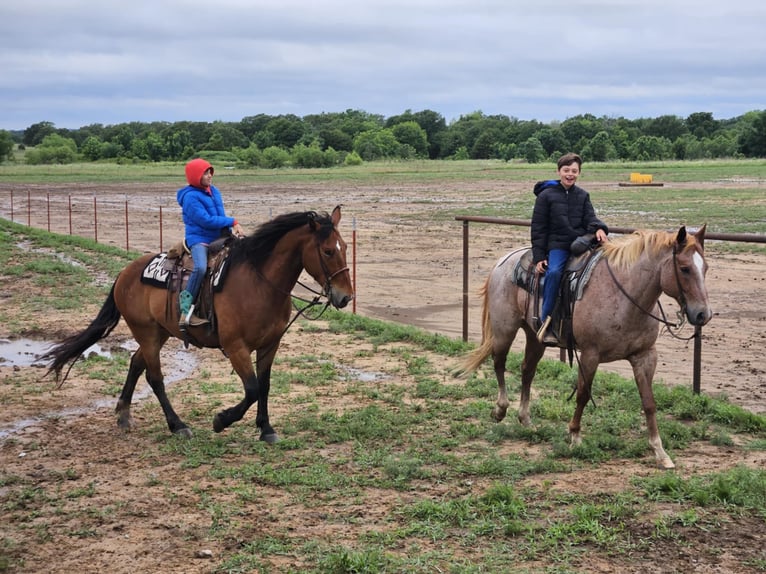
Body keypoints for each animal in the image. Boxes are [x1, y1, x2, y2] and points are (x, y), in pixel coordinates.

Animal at [42, 207, 354, 446]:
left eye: (345, 247)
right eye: (328, 251)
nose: (345, 297)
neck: (260, 282)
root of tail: (125, 273)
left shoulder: (270, 344)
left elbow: (264, 386)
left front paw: (266, 429)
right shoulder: (236, 347)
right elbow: (252, 389)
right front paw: (221, 420)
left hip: (158, 333)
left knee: (136, 363)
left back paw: (124, 414)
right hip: (147, 333)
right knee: (155, 378)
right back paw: (177, 425)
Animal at [460, 225, 716, 468]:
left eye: (705, 268)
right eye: (684, 268)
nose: (703, 314)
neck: (625, 297)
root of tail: (503, 261)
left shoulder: (645, 356)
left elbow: (649, 402)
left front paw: (660, 452)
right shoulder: (591, 355)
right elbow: (583, 394)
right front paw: (574, 436)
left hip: (535, 336)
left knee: (527, 370)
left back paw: (526, 419)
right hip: (505, 329)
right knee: (499, 362)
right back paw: (500, 409)